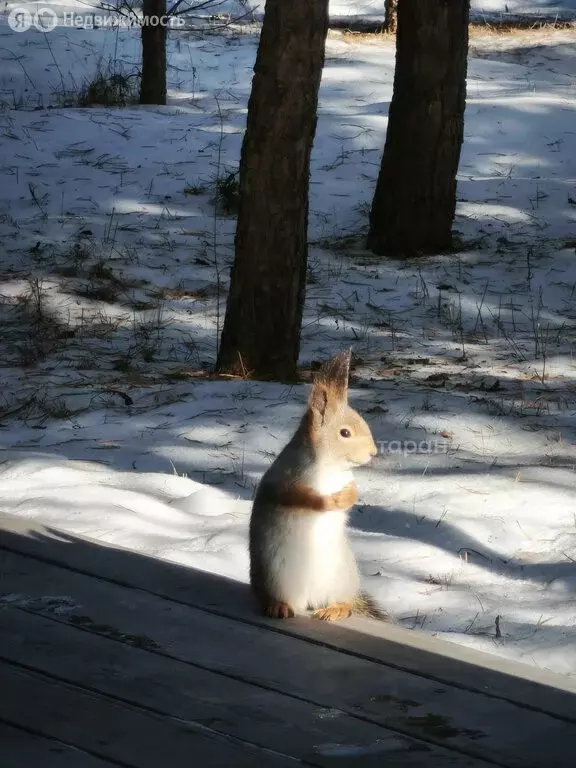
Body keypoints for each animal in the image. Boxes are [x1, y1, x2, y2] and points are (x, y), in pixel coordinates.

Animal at [250, 352, 390, 620]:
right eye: (344, 433)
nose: (373, 453)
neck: (331, 468)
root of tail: (308, 600)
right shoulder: (282, 480)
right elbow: (298, 497)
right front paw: (328, 501)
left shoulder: (349, 479)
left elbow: (353, 493)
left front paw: (344, 498)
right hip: (275, 576)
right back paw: (278, 606)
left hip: (341, 577)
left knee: (343, 600)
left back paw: (336, 609)